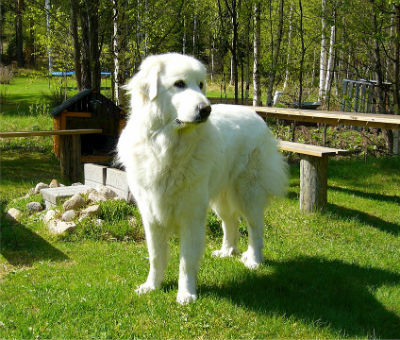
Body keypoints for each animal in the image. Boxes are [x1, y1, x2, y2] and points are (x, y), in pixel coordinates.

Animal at [117, 53, 290, 306]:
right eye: (179, 84)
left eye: (200, 85)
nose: (206, 109)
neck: (167, 147)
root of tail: (255, 114)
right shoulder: (151, 215)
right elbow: (156, 256)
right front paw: (152, 286)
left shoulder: (191, 215)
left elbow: (186, 261)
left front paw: (186, 294)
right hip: (220, 197)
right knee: (231, 221)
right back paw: (227, 251)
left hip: (247, 193)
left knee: (255, 227)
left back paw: (254, 260)